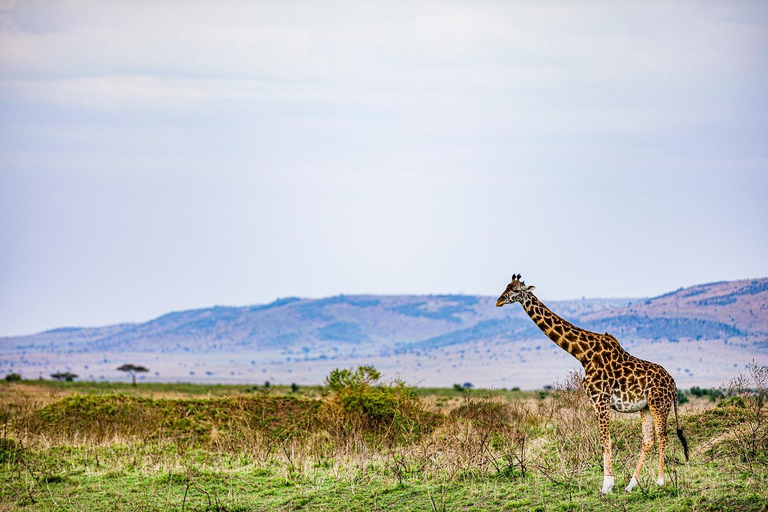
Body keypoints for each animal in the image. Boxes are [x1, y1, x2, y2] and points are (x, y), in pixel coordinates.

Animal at [498, 274, 688, 494]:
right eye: (506, 287)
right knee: (648, 440)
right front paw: (611, 484)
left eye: (515, 290)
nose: (498, 301)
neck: (583, 354)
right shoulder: (597, 402)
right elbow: (605, 439)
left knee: (662, 436)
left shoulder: (600, 400)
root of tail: (673, 383)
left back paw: (660, 481)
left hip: (659, 404)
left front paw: (607, 485)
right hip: (646, 407)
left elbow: (605, 440)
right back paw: (631, 485)